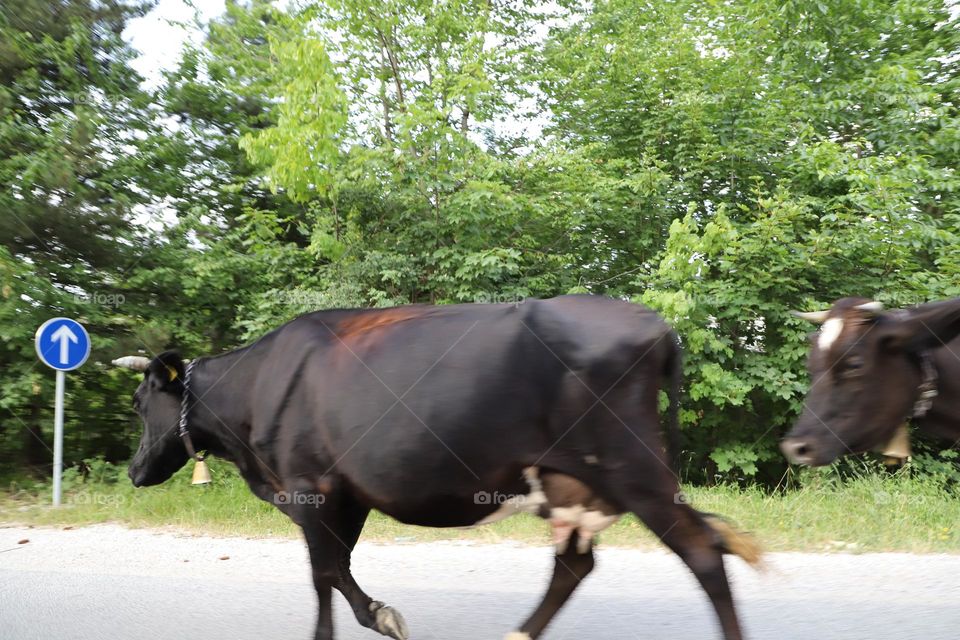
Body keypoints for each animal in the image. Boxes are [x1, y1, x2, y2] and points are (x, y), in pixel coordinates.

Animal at [114, 296, 756, 640]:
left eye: (141, 403)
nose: (134, 472)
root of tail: (659, 327)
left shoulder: (308, 484)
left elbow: (322, 573)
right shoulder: (345, 493)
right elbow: (338, 568)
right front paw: (382, 615)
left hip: (633, 468)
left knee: (702, 551)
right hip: (571, 481)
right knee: (575, 565)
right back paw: (518, 634)